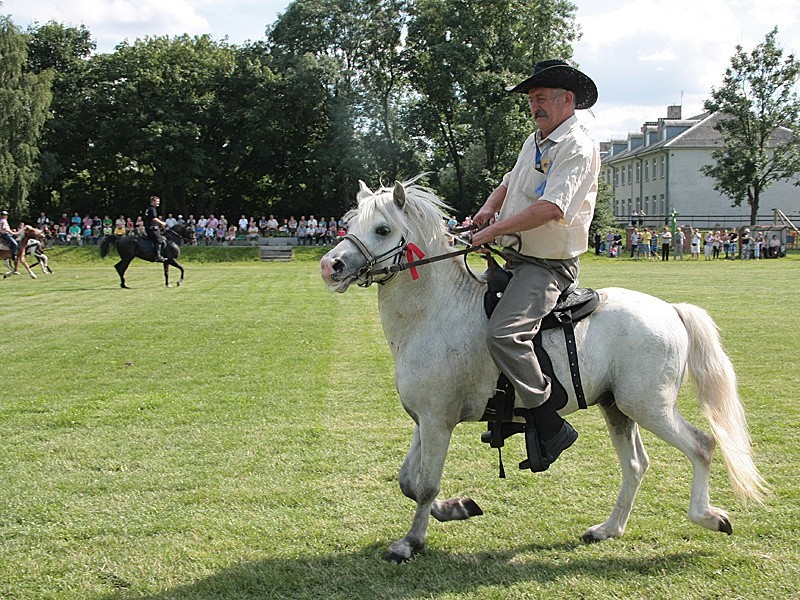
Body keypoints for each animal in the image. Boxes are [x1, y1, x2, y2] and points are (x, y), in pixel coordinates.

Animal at [320, 178, 768, 564]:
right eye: (348, 223)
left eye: (382, 229)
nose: (330, 266)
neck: (434, 312)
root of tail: (671, 310)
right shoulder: (424, 420)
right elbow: (409, 482)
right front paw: (457, 508)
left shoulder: (437, 421)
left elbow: (425, 485)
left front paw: (411, 542)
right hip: (617, 408)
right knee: (636, 465)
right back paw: (608, 529)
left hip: (649, 407)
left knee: (702, 445)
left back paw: (708, 517)